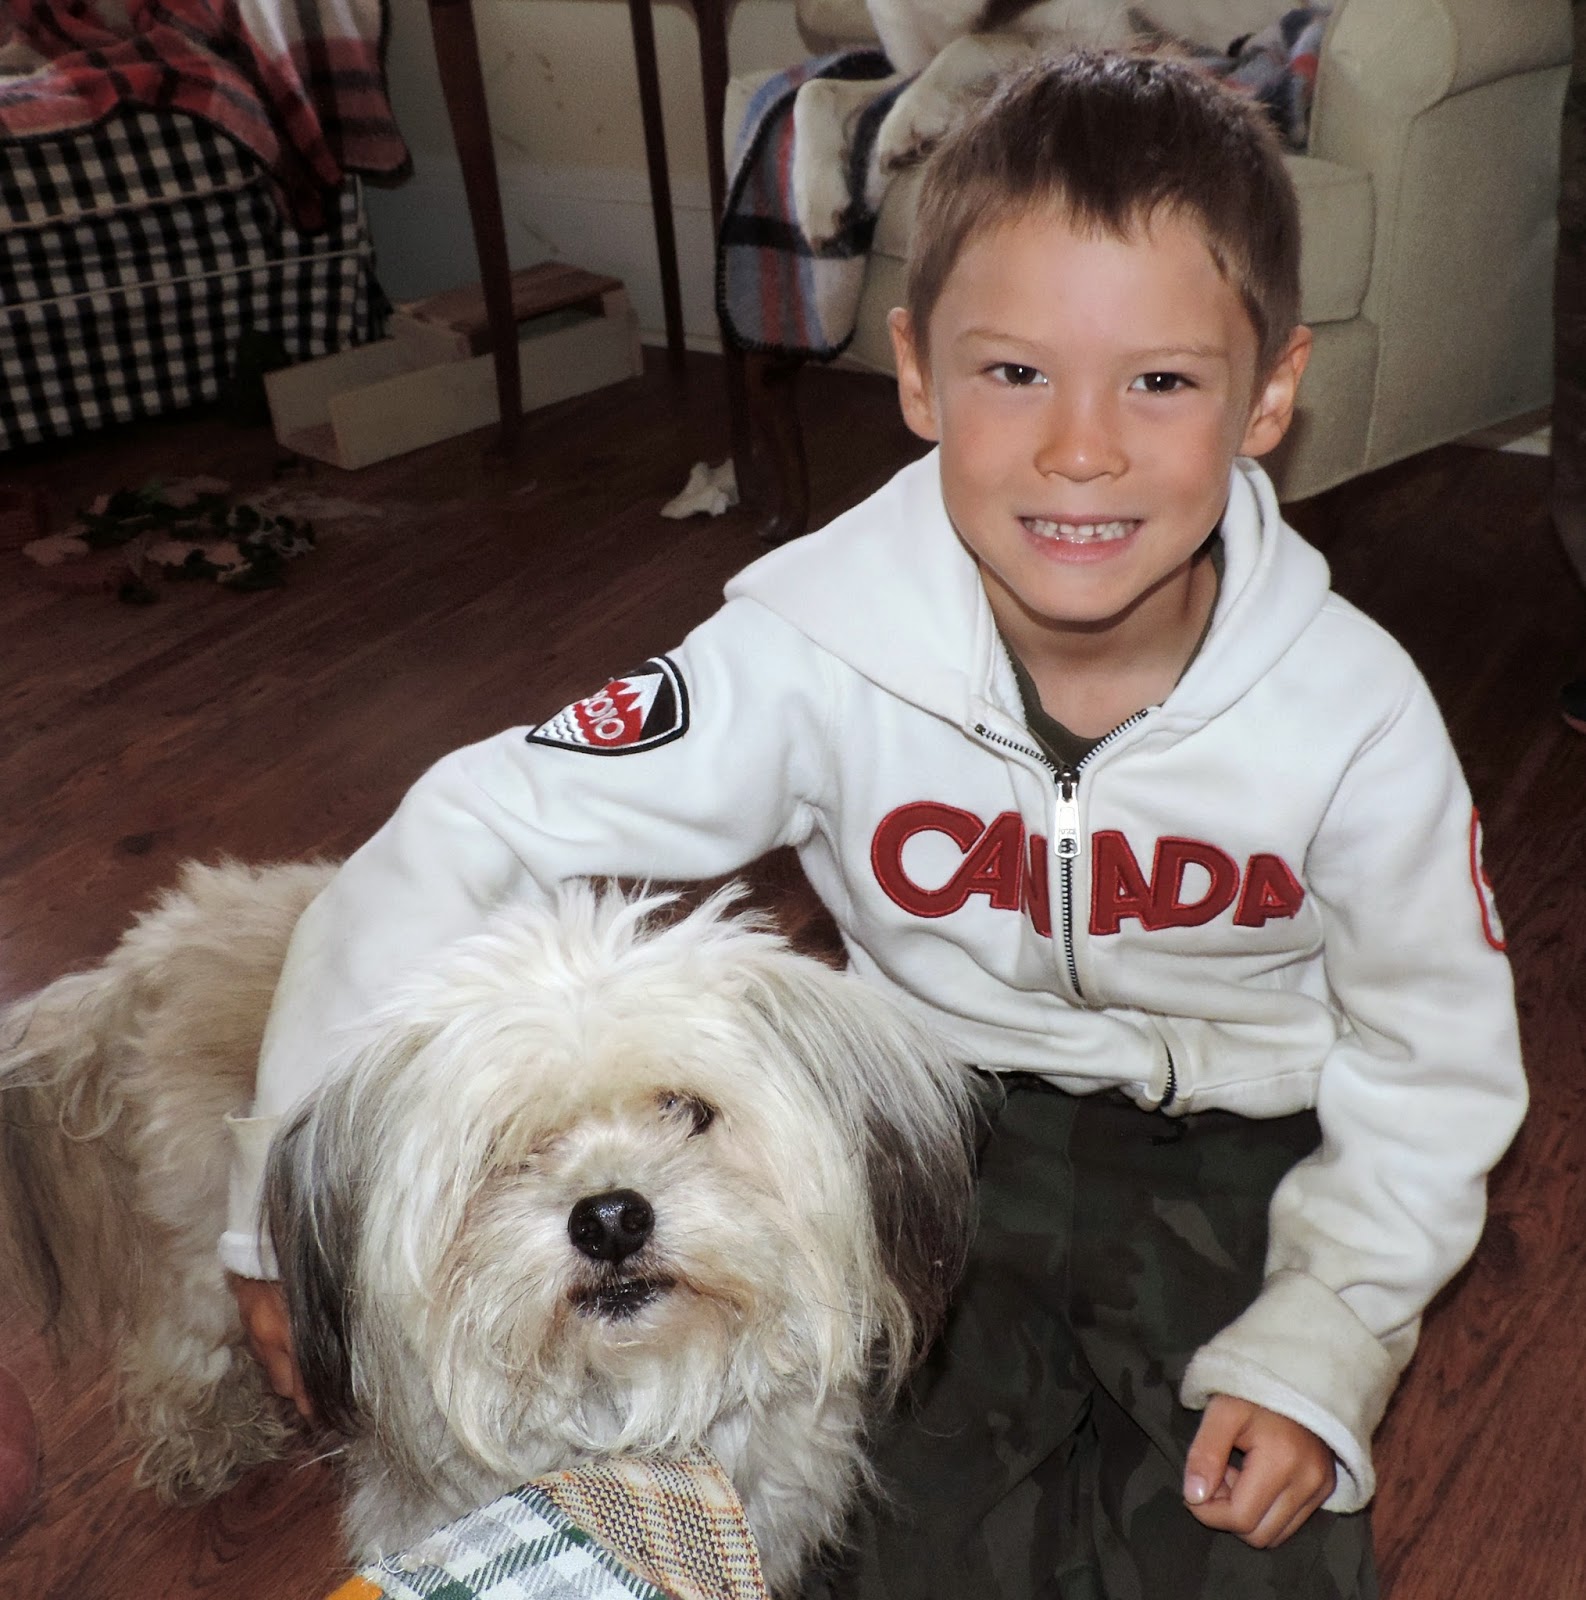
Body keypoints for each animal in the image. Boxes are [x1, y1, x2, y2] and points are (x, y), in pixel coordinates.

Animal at [0, 860, 978, 1593]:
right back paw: (203, 1437)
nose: (610, 1218)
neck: (632, 1406)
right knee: (170, 1346)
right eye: (510, 1147)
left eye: (686, 1110)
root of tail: (163, 939)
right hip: (206, 1240)